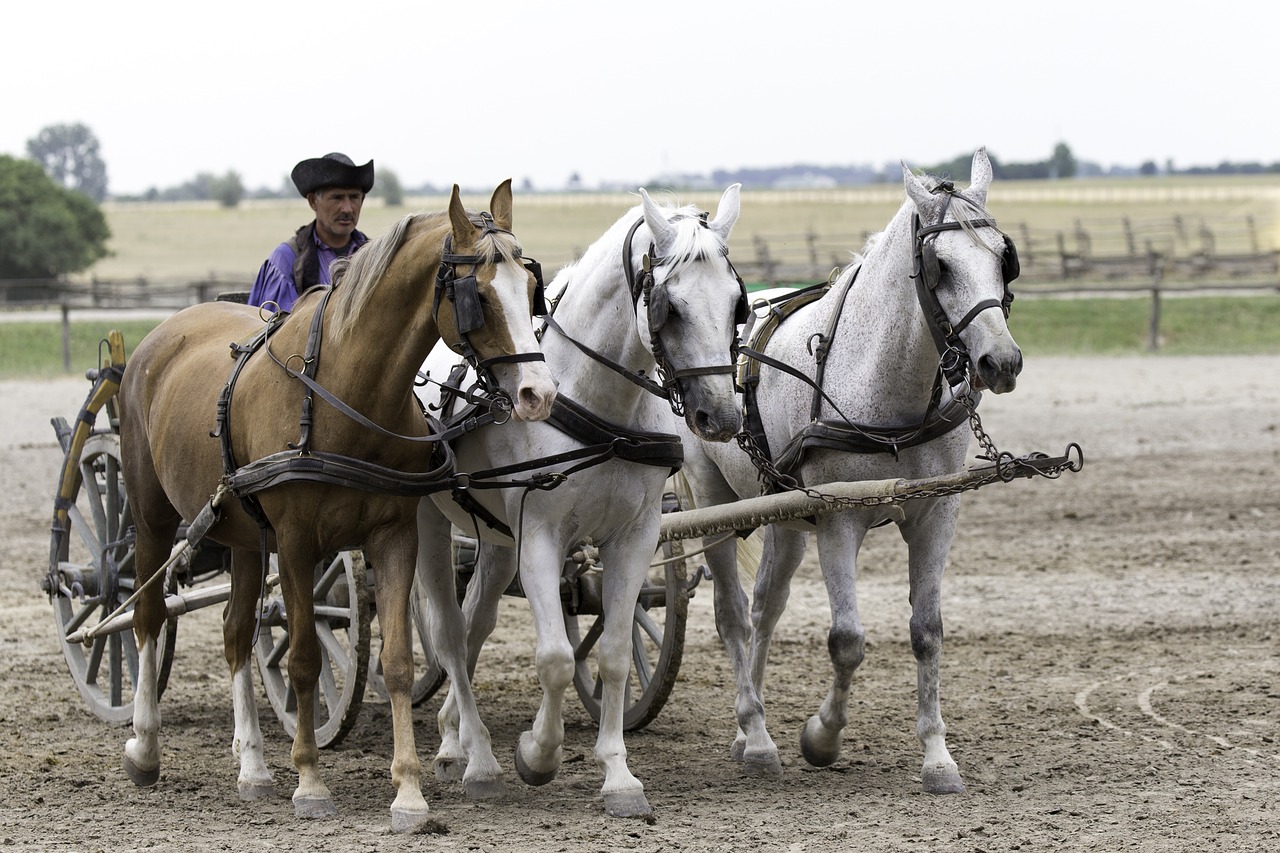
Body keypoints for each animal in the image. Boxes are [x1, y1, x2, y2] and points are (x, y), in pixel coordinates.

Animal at [119, 183, 555, 824]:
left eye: (530, 289)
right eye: (476, 295)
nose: (538, 394)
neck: (344, 393)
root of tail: (163, 333)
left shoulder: (395, 536)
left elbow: (397, 663)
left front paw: (408, 791)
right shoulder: (299, 543)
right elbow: (302, 658)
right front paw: (309, 781)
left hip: (245, 536)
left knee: (235, 631)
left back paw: (252, 765)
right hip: (152, 516)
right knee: (149, 617)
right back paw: (146, 746)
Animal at [414, 184, 747, 809]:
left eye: (738, 302)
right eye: (669, 307)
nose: (721, 417)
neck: (600, 405)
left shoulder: (635, 538)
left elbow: (613, 655)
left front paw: (618, 774)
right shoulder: (542, 538)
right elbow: (555, 658)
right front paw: (537, 755)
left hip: (499, 541)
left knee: (474, 625)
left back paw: (454, 737)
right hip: (427, 519)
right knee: (447, 633)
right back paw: (471, 754)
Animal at [686, 149, 1024, 794]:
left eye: (1003, 258)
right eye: (940, 265)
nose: (1002, 361)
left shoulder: (937, 512)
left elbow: (927, 632)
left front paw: (937, 757)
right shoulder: (839, 521)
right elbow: (846, 641)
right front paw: (821, 737)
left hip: (785, 515)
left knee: (765, 608)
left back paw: (752, 726)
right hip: (710, 498)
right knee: (733, 617)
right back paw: (753, 734)